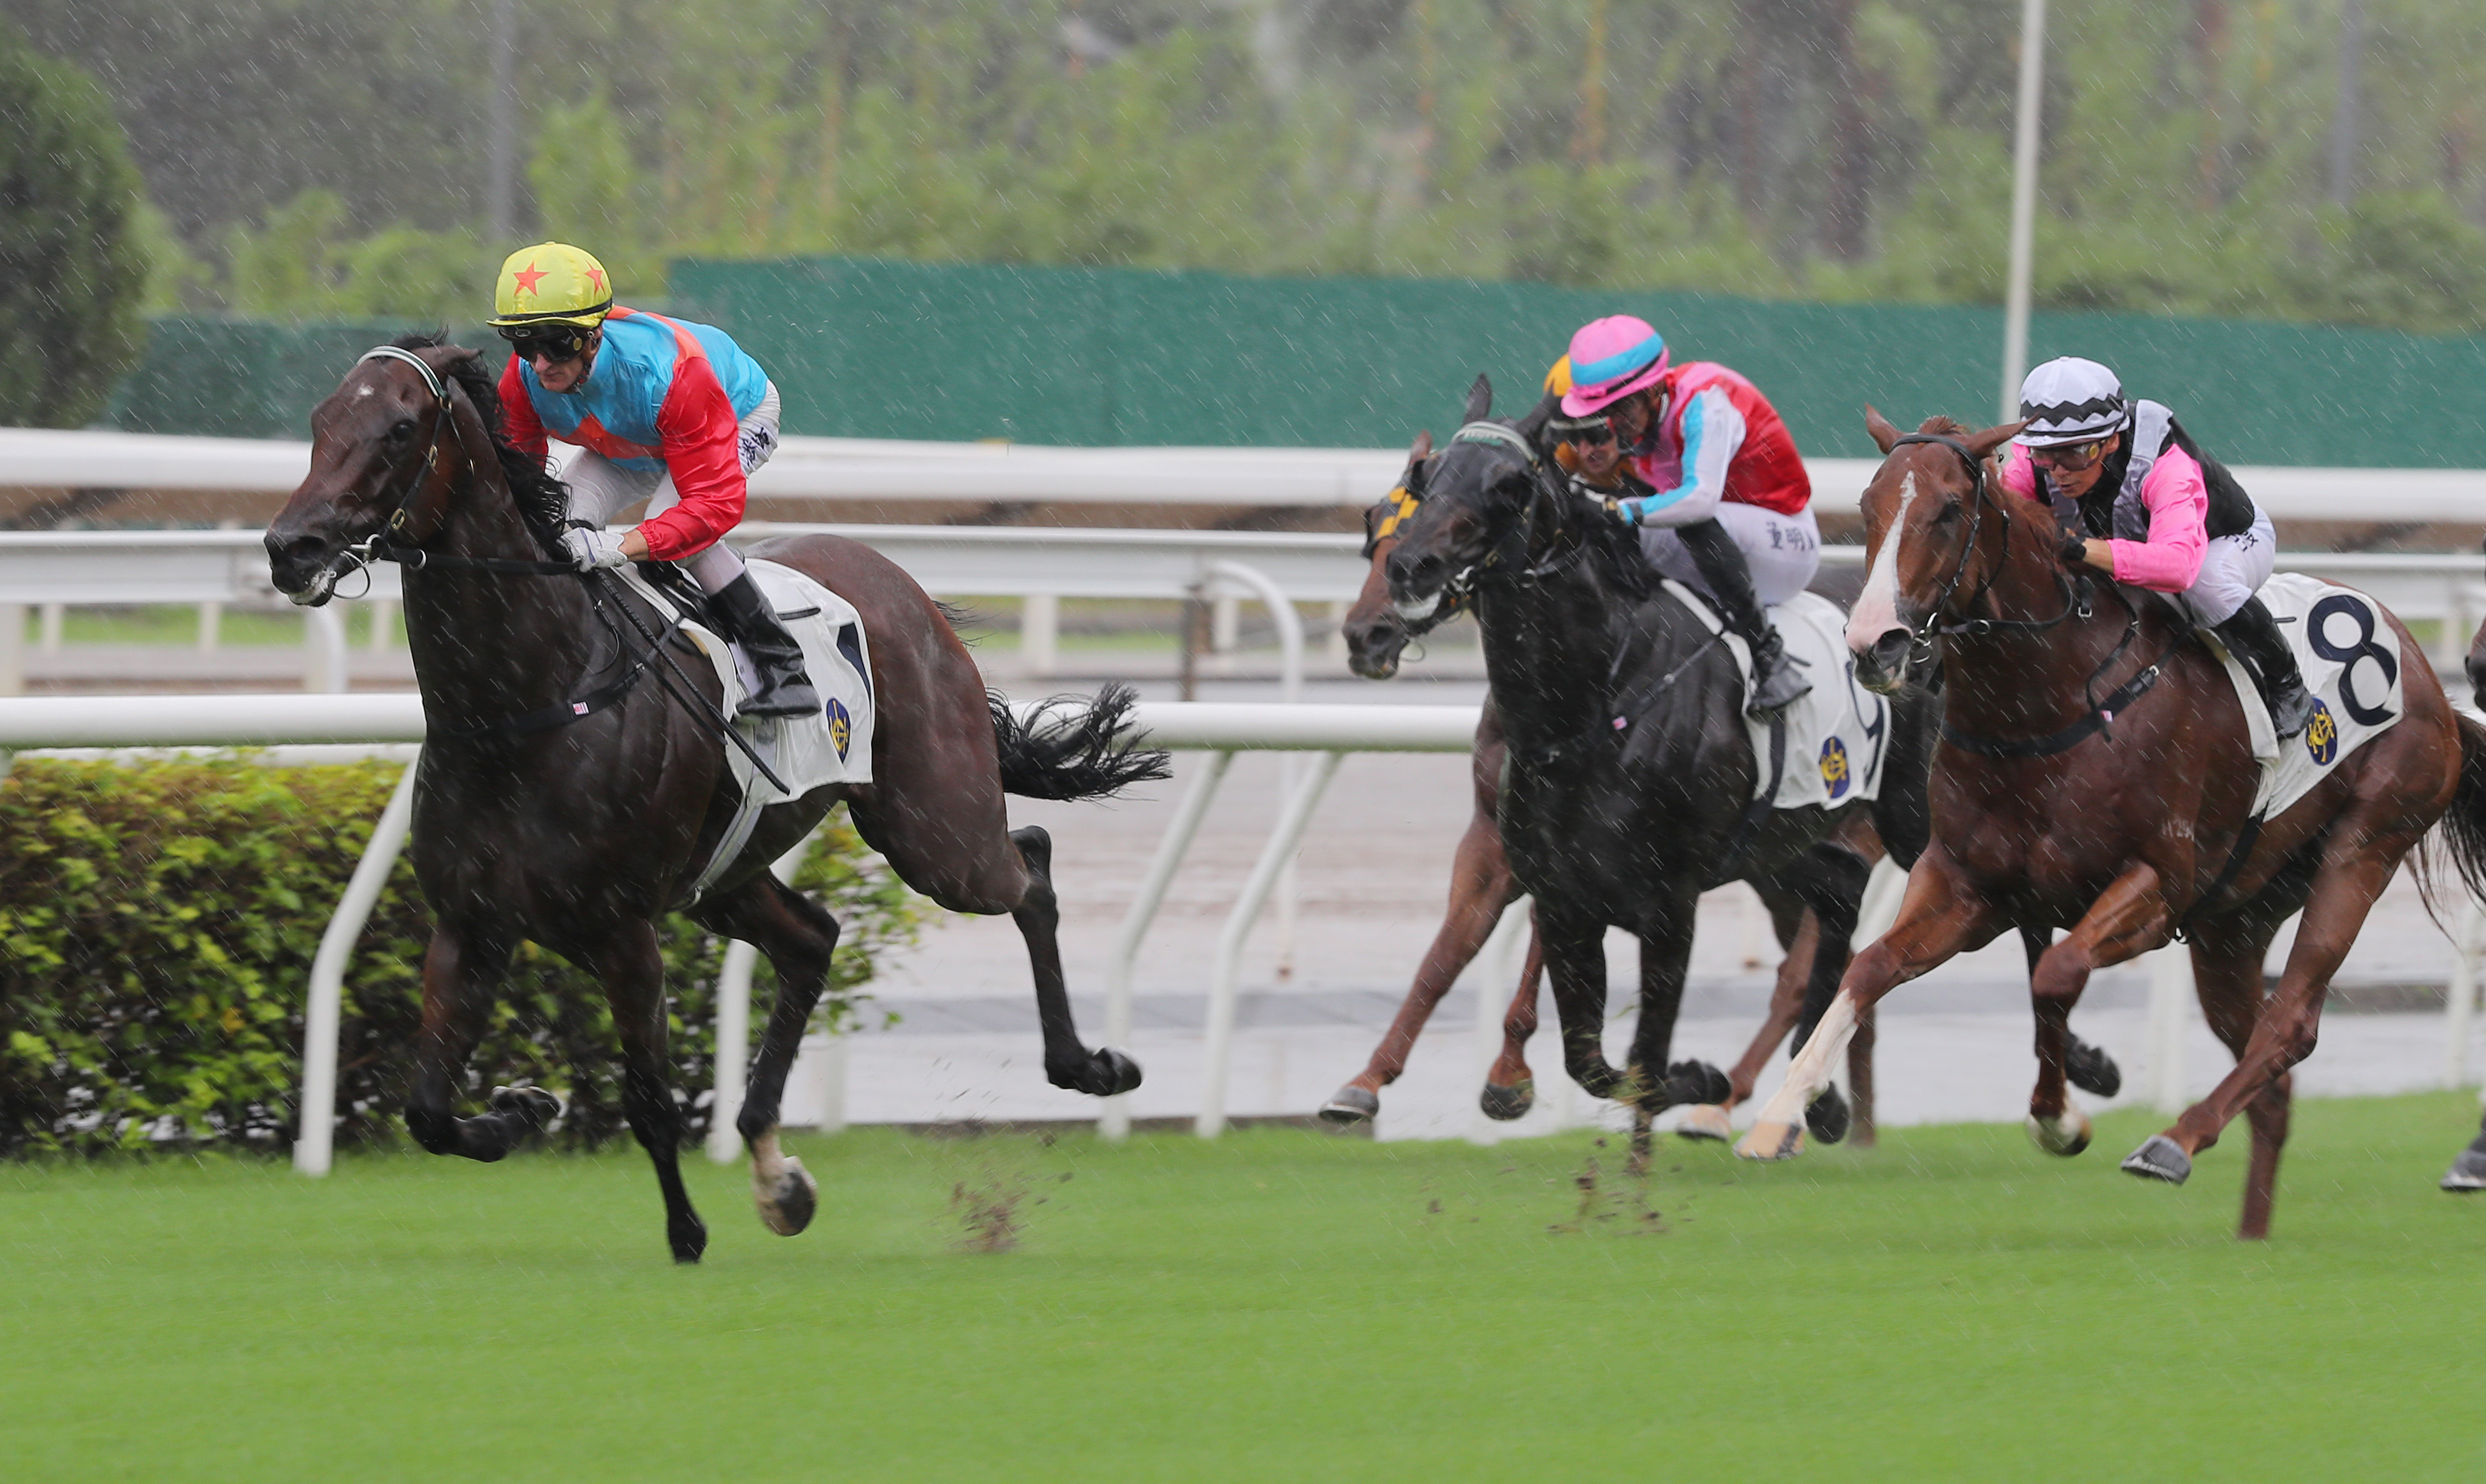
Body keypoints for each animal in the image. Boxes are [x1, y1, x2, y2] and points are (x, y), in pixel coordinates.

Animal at [267, 338, 1158, 1262]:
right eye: (321, 421)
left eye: (400, 429)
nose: (290, 547)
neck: (521, 706)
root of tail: (902, 584)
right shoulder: (470, 925)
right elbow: (428, 1111)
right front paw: (523, 1107)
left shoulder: (623, 931)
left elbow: (649, 1101)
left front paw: (686, 1232)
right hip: (726, 876)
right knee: (813, 939)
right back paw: (778, 1173)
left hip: (935, 834)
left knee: (1030, 868)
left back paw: (1090, 1064)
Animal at [1740, 407, 2486, 1237]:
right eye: (1868, 509)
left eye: (1948, 510)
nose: (1876, 643)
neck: (2049, 704)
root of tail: (2429, 675)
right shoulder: (1968, 883)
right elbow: (1871, 967)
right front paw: (1780, 1111)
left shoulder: (2155, 888)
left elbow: (2056, 973)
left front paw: (2060, 1119)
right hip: (2235, 921)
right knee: (2268, 1072)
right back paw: (2249, 1234)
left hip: (2364, 847)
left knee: (2291, 1023)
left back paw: (2172, 1143)